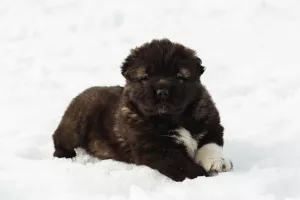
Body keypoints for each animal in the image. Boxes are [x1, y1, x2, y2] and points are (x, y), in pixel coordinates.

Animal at [52, 38, 233, 181]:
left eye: (179, 76)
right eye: (146, 77)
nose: (162, 91)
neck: (174, 118)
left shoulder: (211, 125)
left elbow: (210, 144)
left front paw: (218, 162)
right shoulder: (157, 149)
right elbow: (184, 166)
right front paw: (203, 176)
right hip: (78, 122)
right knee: (59, 137)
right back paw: (65, 155)